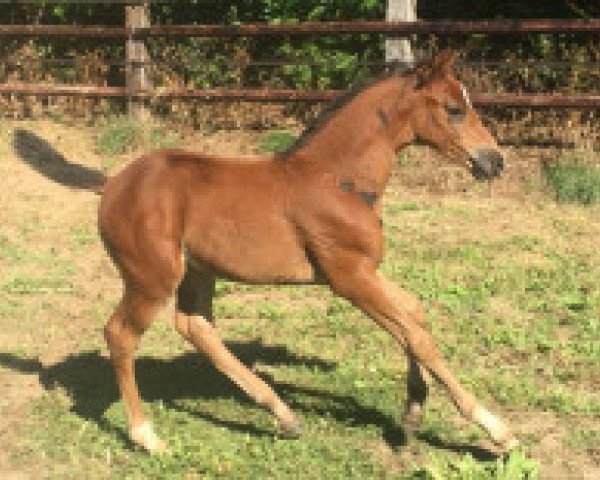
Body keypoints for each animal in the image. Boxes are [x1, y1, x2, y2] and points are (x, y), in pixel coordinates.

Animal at [98, 51, 516, 454]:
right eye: (454, 108)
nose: (495, 161)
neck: (338, 180)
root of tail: (113, 186)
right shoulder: (349, 278)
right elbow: (416, 337)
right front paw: (496, 430)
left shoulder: (366, 269)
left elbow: (414, 314)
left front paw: (414, 410)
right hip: (152, 278)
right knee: (120, 334)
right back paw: (146, 436)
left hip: (197, 271)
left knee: (196, 327)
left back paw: (283, 414)